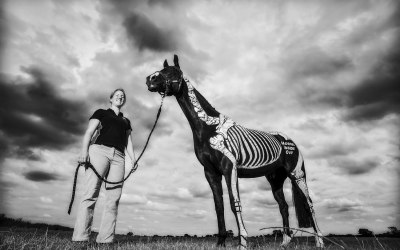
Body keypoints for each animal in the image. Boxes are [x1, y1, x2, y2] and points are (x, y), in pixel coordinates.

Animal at [145, 54, 324, 248]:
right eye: (161, 71)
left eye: (172, 72)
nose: (150, 79)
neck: (208, 127)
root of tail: (291, 141)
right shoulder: (210, 172)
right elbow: (219, 206)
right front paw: (220, 242)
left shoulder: (229, 167)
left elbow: (234, 203)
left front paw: (242, 242)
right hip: (275, 178)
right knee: (283, 206)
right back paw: (284, 242)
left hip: (296, 174)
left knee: (308, 204)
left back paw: (320, 241)